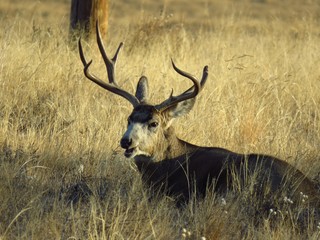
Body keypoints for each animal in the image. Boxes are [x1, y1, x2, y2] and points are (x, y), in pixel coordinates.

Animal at [77, 23, 320, 209]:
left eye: (153, 123)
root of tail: (310, 192)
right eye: (129, 119)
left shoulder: (182, 194)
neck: (168, 165)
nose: (126, 141)